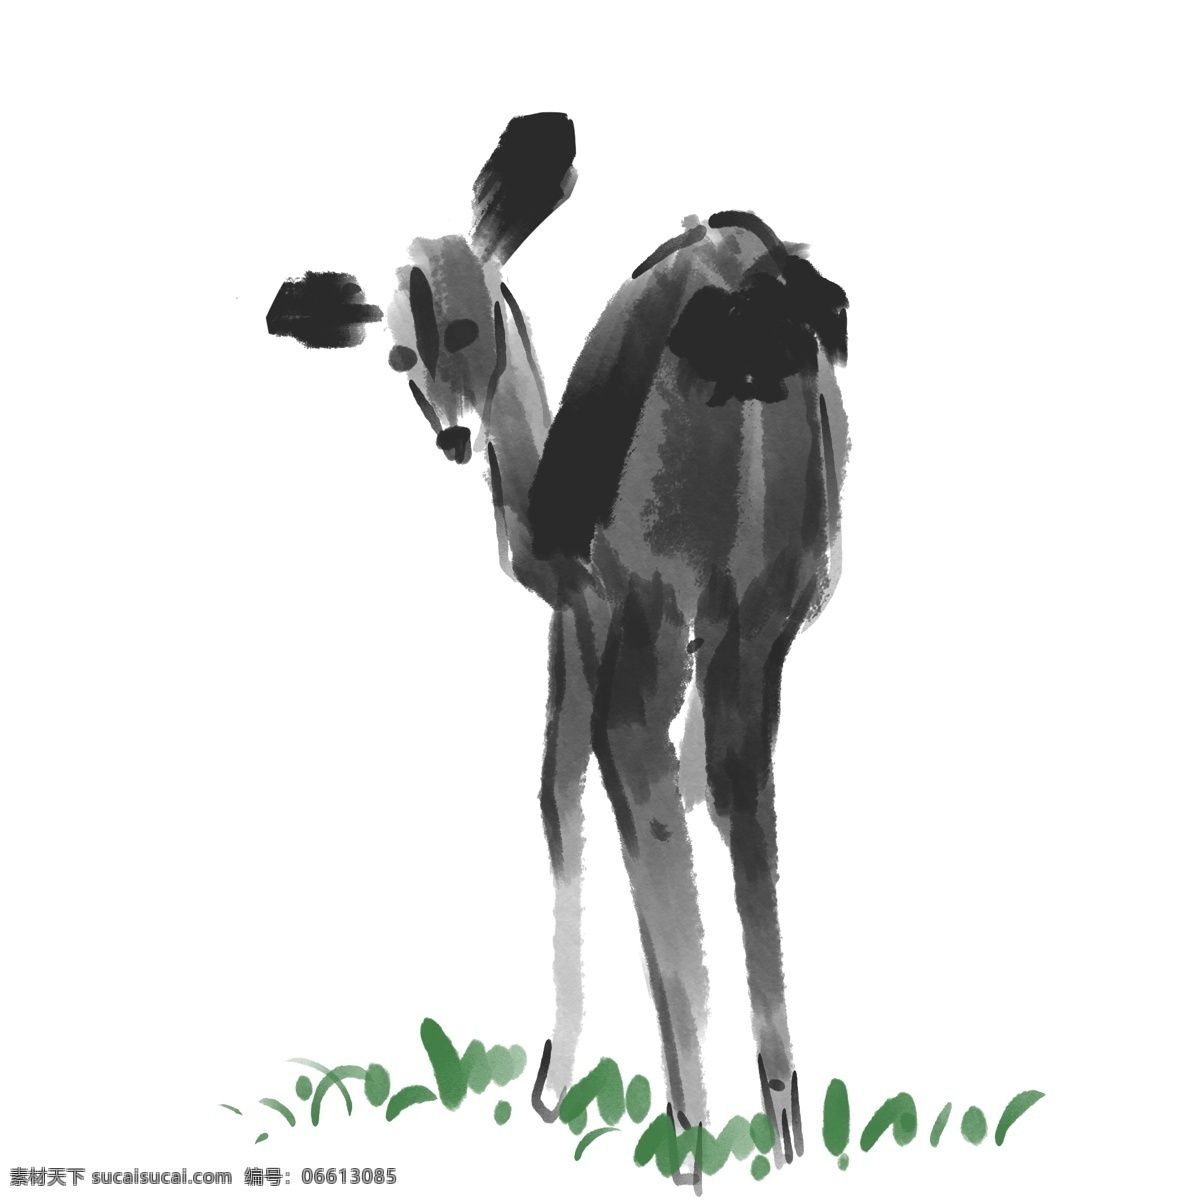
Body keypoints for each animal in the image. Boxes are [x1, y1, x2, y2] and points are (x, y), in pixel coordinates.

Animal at [266, 112, 849, 1165]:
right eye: (400, 358)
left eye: (470, 322)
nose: (456, 437)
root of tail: (743, 282)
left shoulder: (583, 612)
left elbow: (554, 792)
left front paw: (553, 1083)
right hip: (762, 614)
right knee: (742, 793)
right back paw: (779, 1128)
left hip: (658, 614)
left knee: (640, 782)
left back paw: (689, 1132)